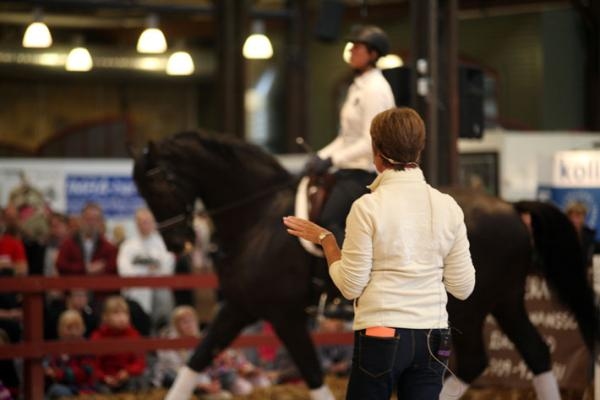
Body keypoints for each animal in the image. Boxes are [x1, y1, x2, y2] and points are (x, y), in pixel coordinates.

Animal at [132, 130, 600, 396]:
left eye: (157, 182)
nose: (177, 242)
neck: (258, 215)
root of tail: (509, 207)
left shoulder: (284, 315)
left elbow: (312, 375)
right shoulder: (240, 307)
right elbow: (196, 361)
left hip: (471, 306)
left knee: (477, 362)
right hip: (504, 301)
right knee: (535, 353)